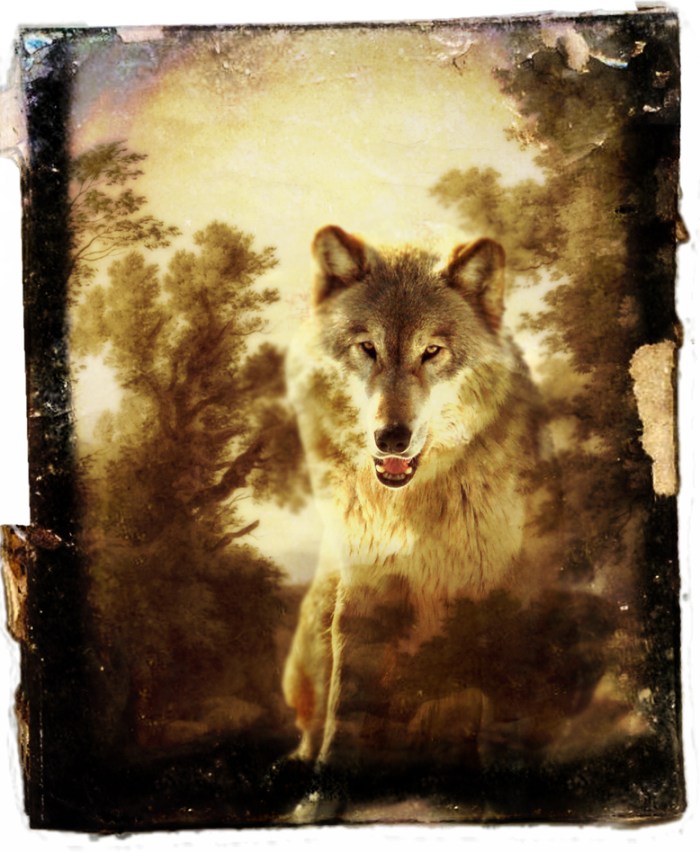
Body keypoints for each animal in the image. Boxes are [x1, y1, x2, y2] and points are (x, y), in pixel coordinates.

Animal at [282, 225, 566, 773]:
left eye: (431, 351)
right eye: (367, 348)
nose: (392, 438)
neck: (413, 509)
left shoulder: (506, 597)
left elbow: (504, 716)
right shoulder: (365, 588)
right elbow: (346, 706)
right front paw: (330, 777)